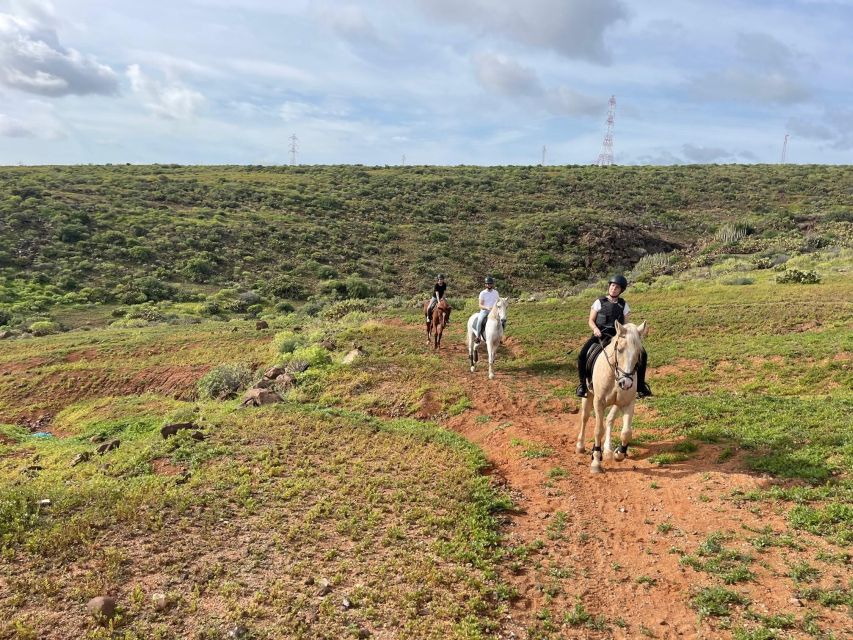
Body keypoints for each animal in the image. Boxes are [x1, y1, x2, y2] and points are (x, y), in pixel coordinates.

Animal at [576, 322, 648, 472]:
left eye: (638, 353)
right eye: (619, 350)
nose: (626, 383)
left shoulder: (628, 403)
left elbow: (626, 432)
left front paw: (619, 453)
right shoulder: (598, 402)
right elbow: (598, 430)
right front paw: (596, 461)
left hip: (617, 403)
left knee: (610, 419)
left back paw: (608, 449)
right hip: (588, 395)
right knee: (585, 417)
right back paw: (580, 446)